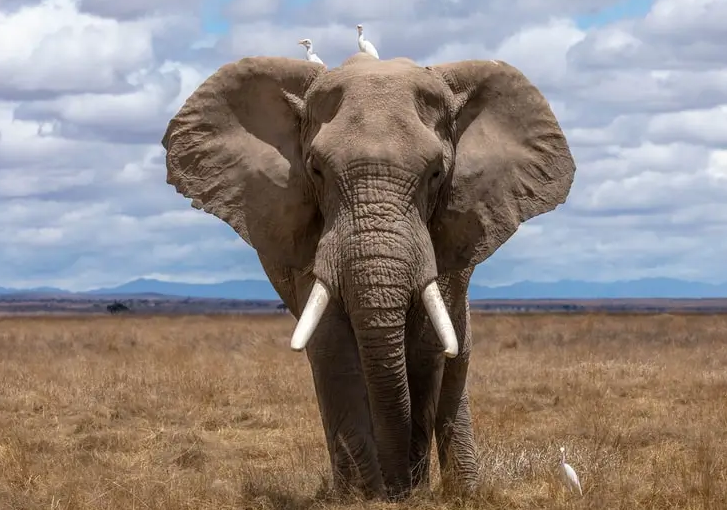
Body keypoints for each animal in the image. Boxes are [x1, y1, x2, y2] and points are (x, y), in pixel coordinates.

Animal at [160, 53, 577, 501]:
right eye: (316, 171)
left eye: (436, 173)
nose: (399, 488)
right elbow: (331, 346)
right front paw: (363, 496)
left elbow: (427, 347)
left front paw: (409, 492)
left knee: (457, 357)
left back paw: (464, 491)